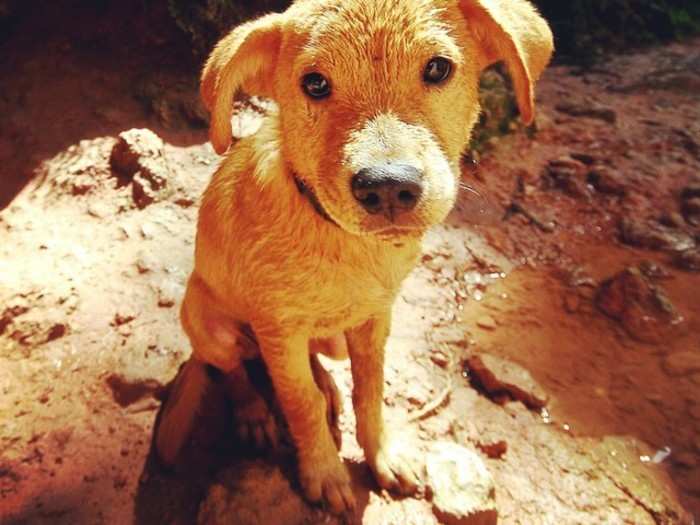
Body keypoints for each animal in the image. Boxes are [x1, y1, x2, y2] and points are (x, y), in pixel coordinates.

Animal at [156, 0, 556, 512]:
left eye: (438, 68)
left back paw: (327, 388)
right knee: (234, 372)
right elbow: (299, 402)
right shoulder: (279, 328)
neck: (347, 245)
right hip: (210, 324)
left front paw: (383, 455)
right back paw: (254, 414)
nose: (388, 188)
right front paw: (324, 473)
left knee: (309, 364)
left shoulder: (374, 318)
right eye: (315, 84)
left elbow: (370, 390)